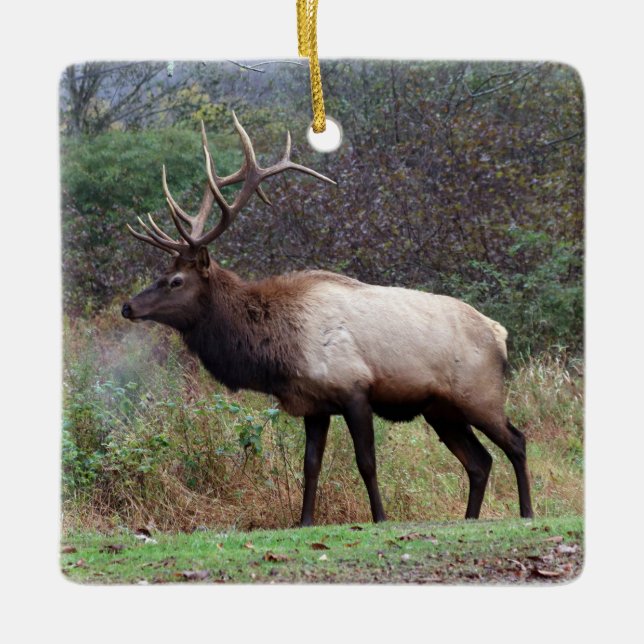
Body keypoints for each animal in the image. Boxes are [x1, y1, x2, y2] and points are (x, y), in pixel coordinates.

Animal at [122, 113, 533, 526]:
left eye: (175, 280)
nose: (128, 307)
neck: (278, 351)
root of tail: (499, 334)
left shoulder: (354, 389)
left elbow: (366, 463)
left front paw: (379, 518)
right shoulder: (314, 405)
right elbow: (311, 465)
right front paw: (304, 521)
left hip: (479, 393)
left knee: (516, 441)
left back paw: (527, 511)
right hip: (441, 410)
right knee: (479, 461)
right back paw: (469, 518)